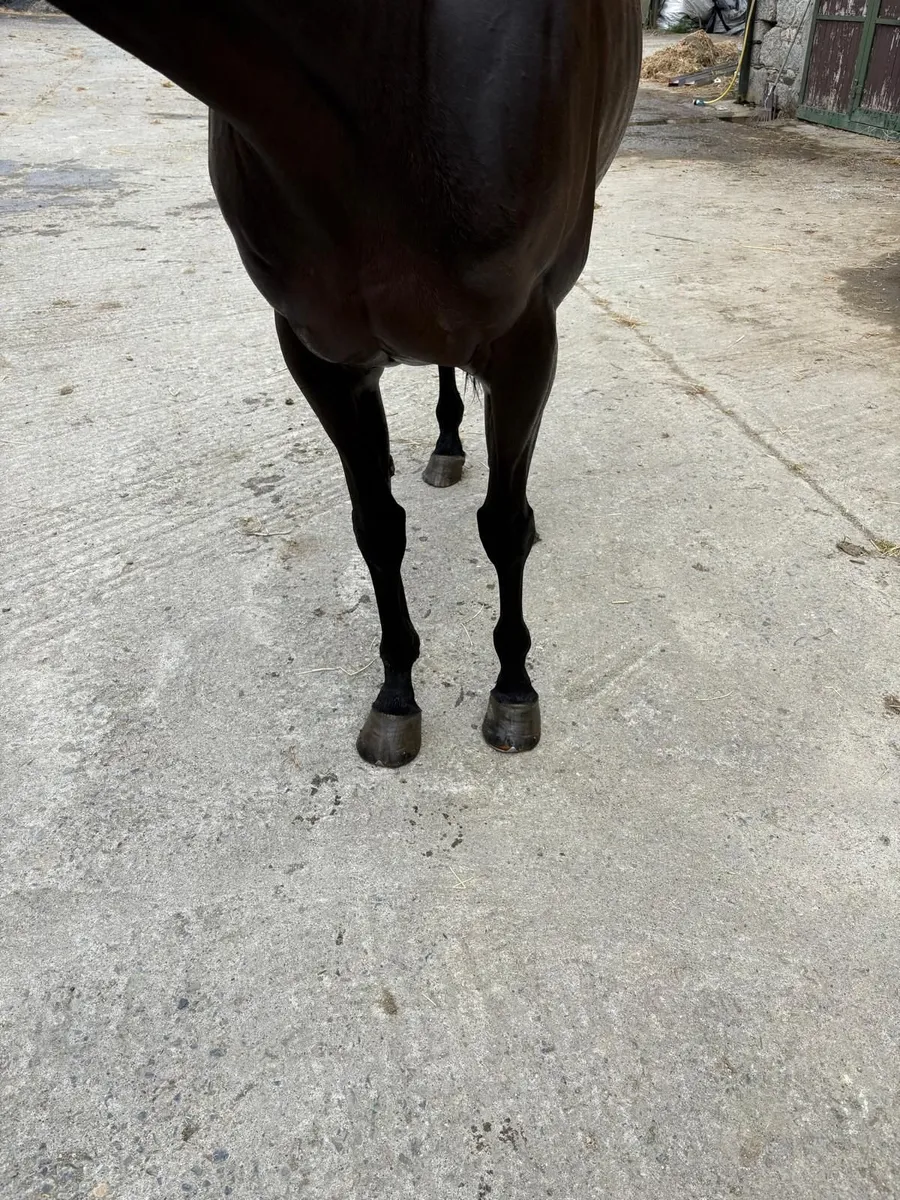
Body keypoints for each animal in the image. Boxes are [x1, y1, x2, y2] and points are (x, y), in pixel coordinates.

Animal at [50, 0, 641, 766]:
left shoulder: (525, 342)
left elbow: (503, 525)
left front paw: (513, 690)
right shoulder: (323, 358)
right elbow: (378, 528)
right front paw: (395, 698)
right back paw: (447, 448)